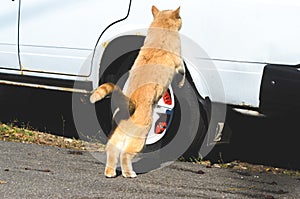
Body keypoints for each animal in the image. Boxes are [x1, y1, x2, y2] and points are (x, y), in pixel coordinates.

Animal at [89, 5, 183, 177]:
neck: (161, 27)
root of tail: (128, 104)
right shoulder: (178, 60)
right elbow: (183, 72)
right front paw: (181, 82)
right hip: (140, 139)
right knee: (125, 155)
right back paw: (129, 173)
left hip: (116, 138)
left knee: (112, 153)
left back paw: (110, 172)